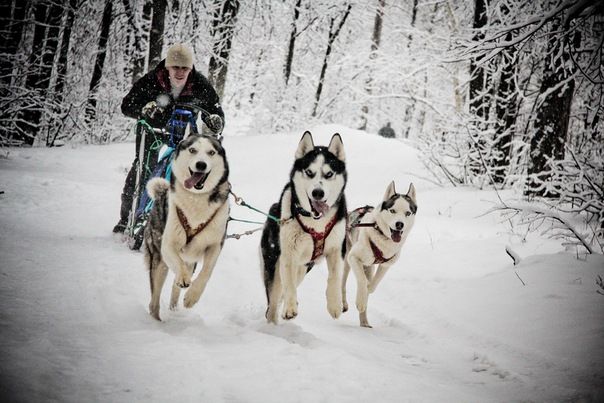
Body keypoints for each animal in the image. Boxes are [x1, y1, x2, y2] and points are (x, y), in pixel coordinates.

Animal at [143, 135, 230, 322]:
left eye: (211, 152)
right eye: (192, 150)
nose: (201, 164)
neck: (196, 198)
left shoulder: (215, 245)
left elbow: (206, 273)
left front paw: (192, 297)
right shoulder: (168, 244)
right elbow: (178, 264)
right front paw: (183, 278)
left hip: (191, 260)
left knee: (175, 288)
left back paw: (175, 309)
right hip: (159, 261)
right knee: (154, 301)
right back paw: (156, 321)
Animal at [260, 133, 350, 326]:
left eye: (329, 174)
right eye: (309, 172)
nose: (318, 192)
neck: (316, 223)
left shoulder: (337, 249)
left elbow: (335, 277)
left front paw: (334, 304)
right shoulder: (288, 254)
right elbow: (289, 284)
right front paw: (290, 308)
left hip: (303, 268)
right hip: (274, 262)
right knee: (274, 301)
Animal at [342, 182, 418, 328]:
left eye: (408, 213)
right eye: (392, 211)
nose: (399, 224)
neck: (382, 236)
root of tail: (350, 214)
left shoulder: (386, 265)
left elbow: (373, 284)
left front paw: (366, 293)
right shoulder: (354, 257)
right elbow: (362, 280)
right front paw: (360, 300)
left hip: (369, 266)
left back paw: (364, 322)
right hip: (347, 262)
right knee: (342, 283)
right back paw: (343, 304)